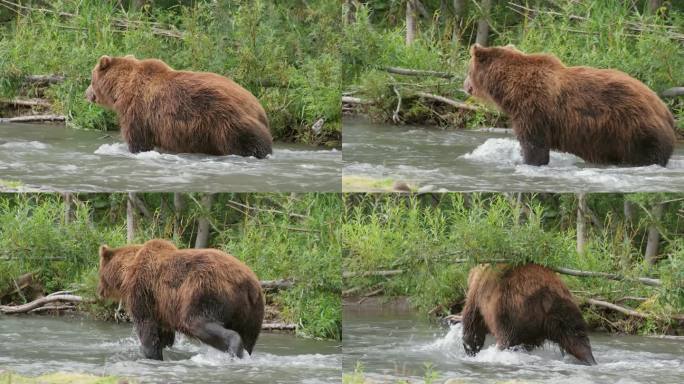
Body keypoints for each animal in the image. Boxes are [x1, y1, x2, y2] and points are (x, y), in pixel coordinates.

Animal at [87, 54, 274, 158]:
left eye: (91, 78)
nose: (86, 93)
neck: (121, 89)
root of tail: (258, 108)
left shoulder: (138, 112)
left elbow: (138, 141)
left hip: (227, 122)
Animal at [97, 237, 264, 360]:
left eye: (99, 272)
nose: (99, 290)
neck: (127, 272)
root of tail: (248, 284)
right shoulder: (162, 307)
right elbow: (164, 335)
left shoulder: (144, 291)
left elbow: (146, 325)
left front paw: (150, 353)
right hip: (253, 312)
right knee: (249, 337)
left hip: (204, 292)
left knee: (196, 322)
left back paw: (234, 348)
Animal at [462, 44, 676, 166]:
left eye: (468, 69)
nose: (464, 85)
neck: (510, 89)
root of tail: (665, 110)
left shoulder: (534, 111)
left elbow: (534, 146)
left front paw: (530, 162)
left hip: (634, 129)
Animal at [462, 264, 596, 366]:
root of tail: (546, 294)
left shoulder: (477, 294)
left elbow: (473, 324)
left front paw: (470, 349)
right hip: (564, 309)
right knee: (577, 338)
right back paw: (590, 360)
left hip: (512, 309)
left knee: (507, 338)